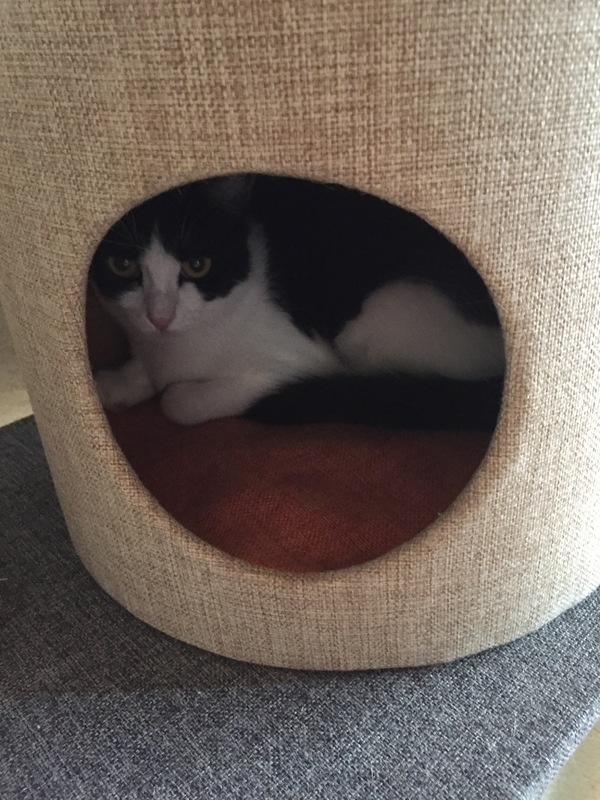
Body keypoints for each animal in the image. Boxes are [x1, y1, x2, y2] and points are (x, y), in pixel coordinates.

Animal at [90, 174, 504, 429]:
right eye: (122, 266)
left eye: (197, 265)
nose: (160, 317)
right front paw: (119, 384)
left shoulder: (297, 361)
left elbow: (179, 404)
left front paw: (175, 392)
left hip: (378, 319)